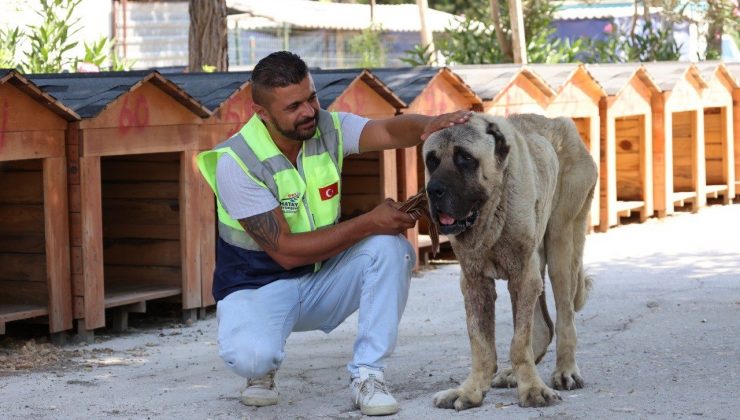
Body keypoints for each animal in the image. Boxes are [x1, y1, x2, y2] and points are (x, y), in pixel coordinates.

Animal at [424, 113, 600, 408]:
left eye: (465, 158)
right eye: (431, 161)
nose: (433, 190)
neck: (492, 211)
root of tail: (562, 123)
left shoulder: (522, 275)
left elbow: (519, 341)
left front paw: (533, 390)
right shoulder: (474, 281)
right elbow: (480, 341)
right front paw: (470, 390)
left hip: (560, 245)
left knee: (564, 316)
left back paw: (565, 370)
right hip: (536, 262)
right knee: (543, 326)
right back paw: (512, 374)